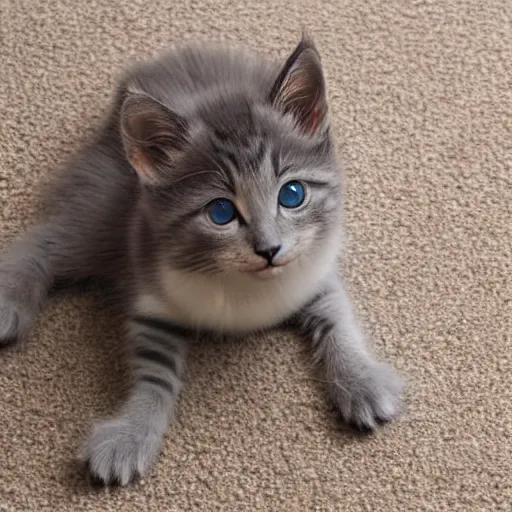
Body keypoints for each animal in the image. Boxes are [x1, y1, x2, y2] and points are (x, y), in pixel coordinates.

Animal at [0, 38, 404, 486]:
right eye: (221, 212)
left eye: (293, 194)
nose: (269, 249)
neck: (246, 288)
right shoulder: (153, 298)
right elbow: (154, 374)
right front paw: (131, 435)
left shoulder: (315, 272)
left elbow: (338, 321)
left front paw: (361, 380)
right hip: (105, 211)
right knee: (47, 240)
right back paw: (9, 301)